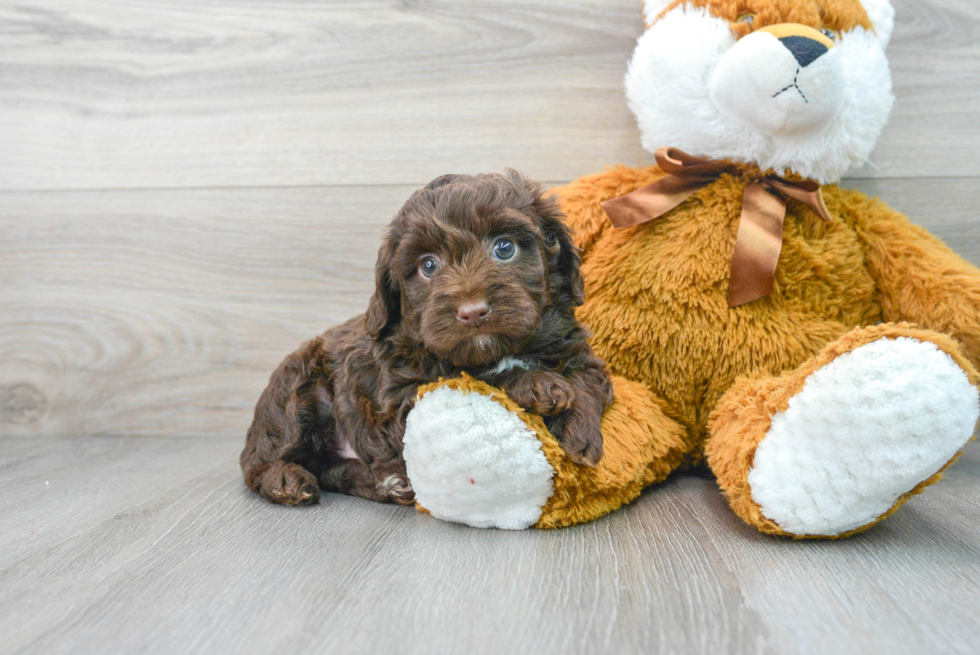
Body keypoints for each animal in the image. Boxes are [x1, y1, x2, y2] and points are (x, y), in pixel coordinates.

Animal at [241, 173, 608, 508]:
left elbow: (588, 382)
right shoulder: (403, 401)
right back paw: (285, 481)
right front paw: (537, 384)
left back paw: (385, 484)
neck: (500, 350)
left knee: (327, 467)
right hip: (295, 391)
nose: (472, 312)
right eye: (428, 266)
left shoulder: (579, 355)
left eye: (505, 248)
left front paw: (580, 433)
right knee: (259, 462)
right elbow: (474, 378)